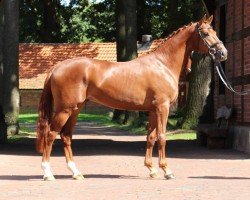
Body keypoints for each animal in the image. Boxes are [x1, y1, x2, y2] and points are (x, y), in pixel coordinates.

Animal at [36, 15, 227, 181]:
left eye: (215, 31)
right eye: (205, 33)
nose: (223, 53)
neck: (162, 64)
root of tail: (57, 67)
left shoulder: (153, 110)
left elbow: (150, 138)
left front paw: (151, 169)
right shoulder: (162, 108)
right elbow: (162, 137)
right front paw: (167, 171)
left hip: (75, 109)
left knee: (66, 136)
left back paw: (76, 172)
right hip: (65, 109)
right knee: (51, 134)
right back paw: (48, 173)